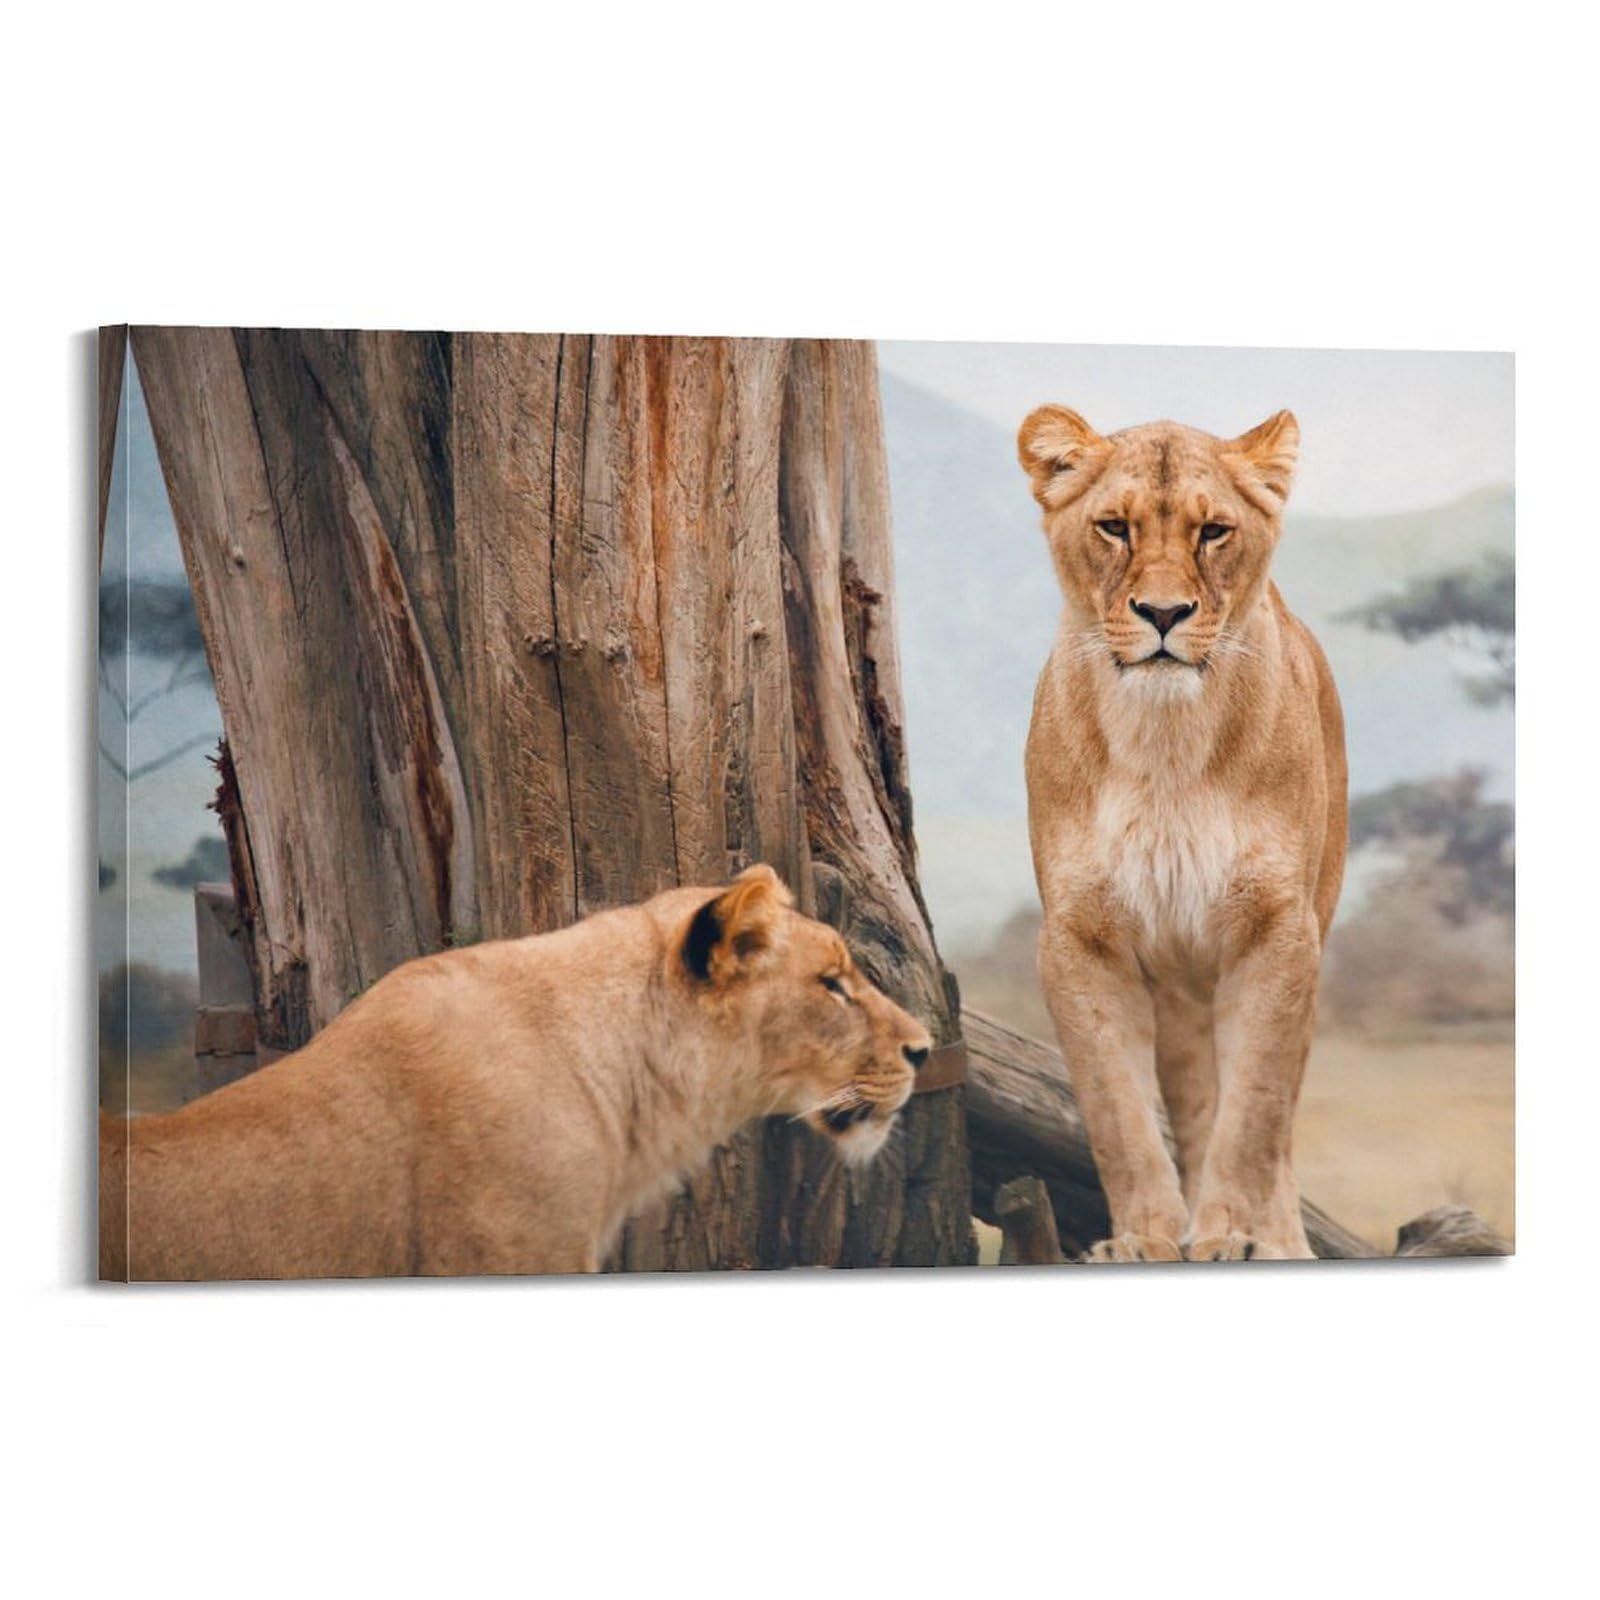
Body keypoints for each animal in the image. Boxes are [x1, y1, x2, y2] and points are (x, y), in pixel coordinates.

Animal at [1017, 406, 1347, 1261]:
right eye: (1113, 527)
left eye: (1214, 532)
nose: (1163, 616)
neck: (1164, 742)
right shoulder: (1079, 937)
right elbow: (1118, 1112)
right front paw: (1144, 1237)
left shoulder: (1278, 929)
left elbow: (1255, 1112)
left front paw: (1235, 1233)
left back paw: (1281, 1239)